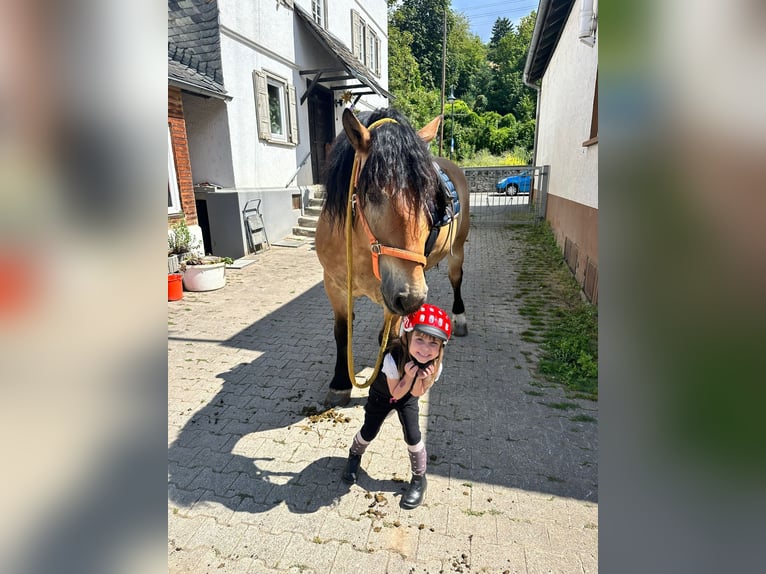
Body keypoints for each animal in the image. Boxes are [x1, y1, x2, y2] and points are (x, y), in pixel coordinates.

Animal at [316, 106, 472, 408]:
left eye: (431, 197)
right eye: (373, 193)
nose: (412, 298)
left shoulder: (394, 295)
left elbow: (388, 342)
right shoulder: (335, 286)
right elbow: (342, 333)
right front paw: (340, 384)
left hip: (456, 250)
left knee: (456, 279)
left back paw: (458, 317)